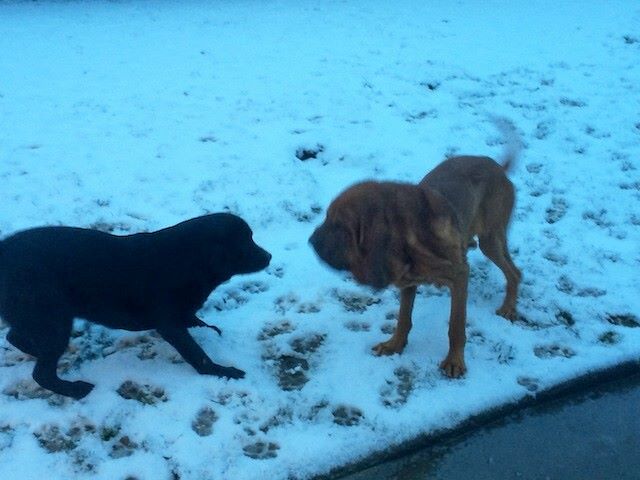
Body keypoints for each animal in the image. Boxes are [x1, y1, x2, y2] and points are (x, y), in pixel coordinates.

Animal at [0, 213, 270, 398]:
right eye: (244, 242)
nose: (269, 256)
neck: (188, 260)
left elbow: (195, 322)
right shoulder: (169, 324)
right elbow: (197, 355)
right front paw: (222, 371)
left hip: (37, 317)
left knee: (16, 337)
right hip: (52, 318)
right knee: (41, 372)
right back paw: (75, 390)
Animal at [308, 120, 520, 378]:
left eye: (339, 225)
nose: (311, 241)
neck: (411, 240)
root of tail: (497, 167)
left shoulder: (460, 276)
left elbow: (456, 325)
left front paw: (454, 361)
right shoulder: (407, 282)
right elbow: (403, 319)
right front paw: (394, 345)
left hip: (491, 240)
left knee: (515, 272)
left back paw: (508, 307)